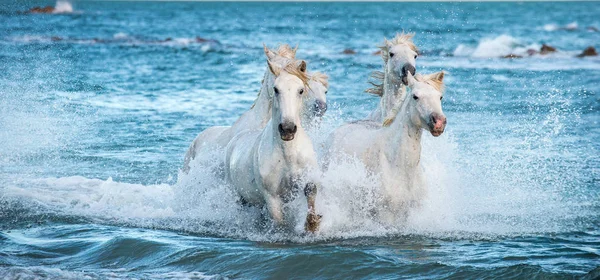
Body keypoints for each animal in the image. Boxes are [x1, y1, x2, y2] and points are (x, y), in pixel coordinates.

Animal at [225, 60, 322, 232]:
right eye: (276, 89)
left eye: (301, 90)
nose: (288, 129)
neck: (288, 155)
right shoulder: (272, 198)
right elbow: (280, 224)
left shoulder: (306, 177)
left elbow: (311, 189)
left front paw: (312, 224)